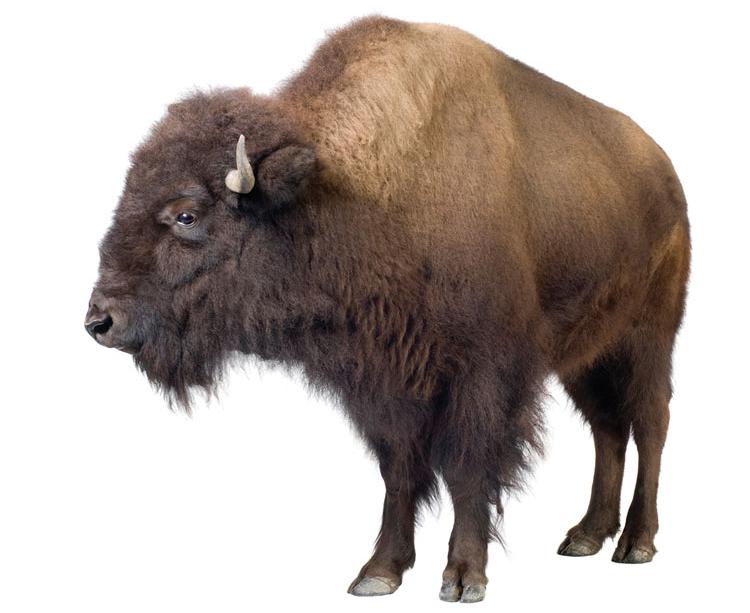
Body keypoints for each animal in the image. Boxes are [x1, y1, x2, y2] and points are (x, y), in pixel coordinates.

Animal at [85, 16, 690, 603]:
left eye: (186, 215)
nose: (99, 322)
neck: (353, 191)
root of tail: (666, 173)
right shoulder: (386, 382)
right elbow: (399, 473)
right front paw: (378, 573)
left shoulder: (481, 375)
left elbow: (468, 469)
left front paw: (464, 578)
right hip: (585, 357)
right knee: (608, 427)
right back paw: (586, 535)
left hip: (649, 338)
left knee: (650, 423)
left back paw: (635, 543)